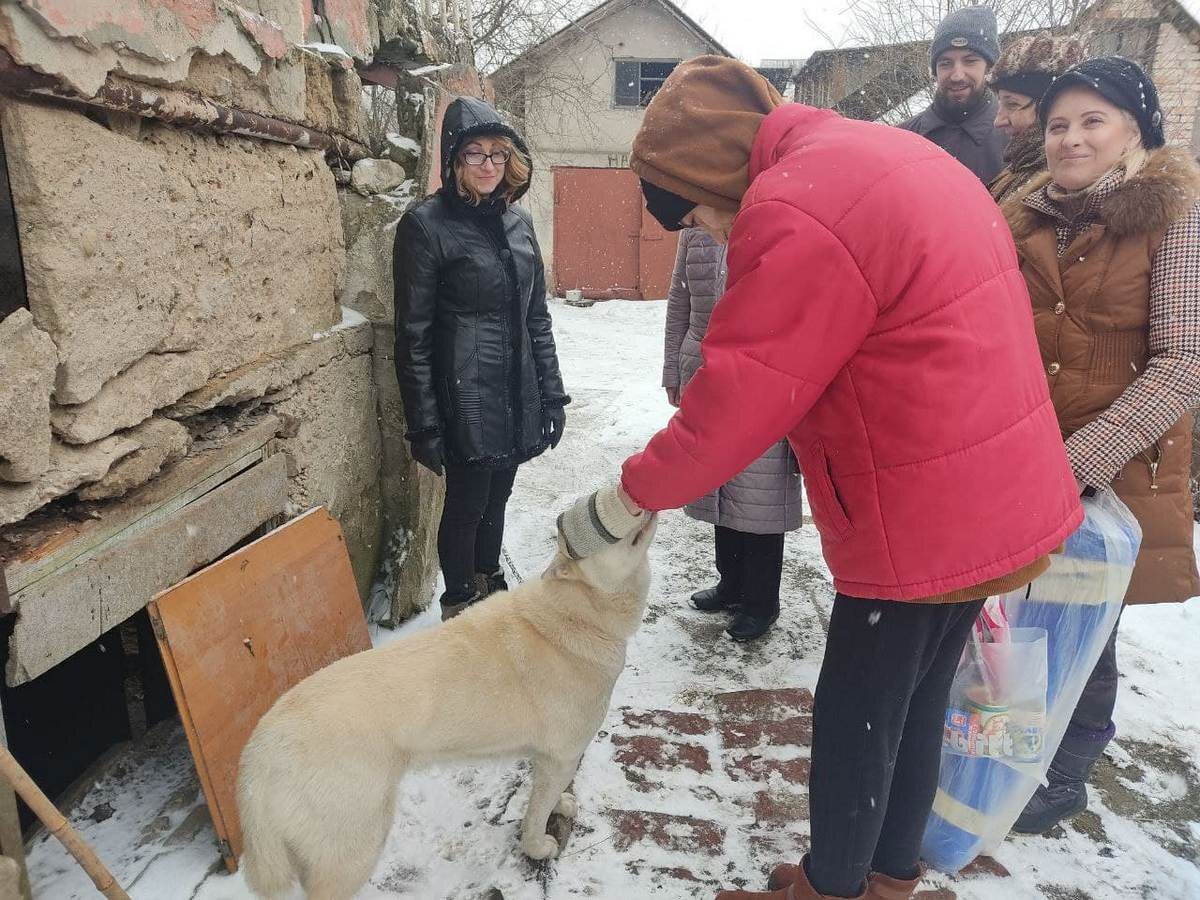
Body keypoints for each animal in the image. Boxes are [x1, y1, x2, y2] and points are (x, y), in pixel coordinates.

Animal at [234, 513, 657, 900]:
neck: (579, 612)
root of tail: (258, 754)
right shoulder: (562, 756)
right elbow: (536, 814)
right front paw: (538, 846)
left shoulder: (548, 758)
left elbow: (548, 798)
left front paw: (563, 804)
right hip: (353, 846)